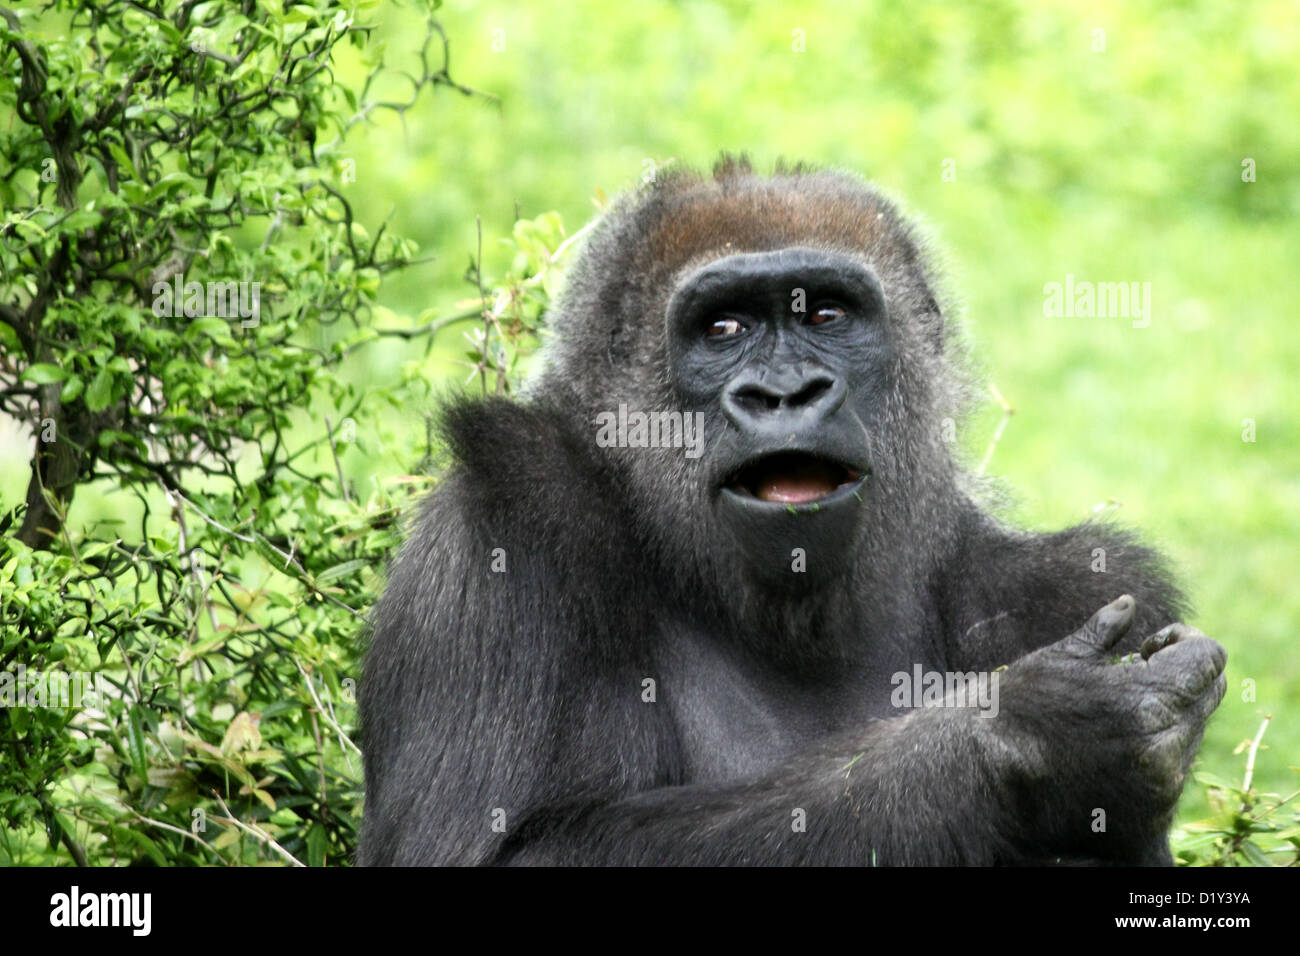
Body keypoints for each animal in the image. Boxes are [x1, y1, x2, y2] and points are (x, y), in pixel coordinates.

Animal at [358, 157, 1227, 868]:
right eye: (723, 328)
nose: (785, 393)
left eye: (826, 316)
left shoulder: (1068, 586)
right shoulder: (501, 526)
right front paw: (1034, 738)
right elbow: (495, 849)